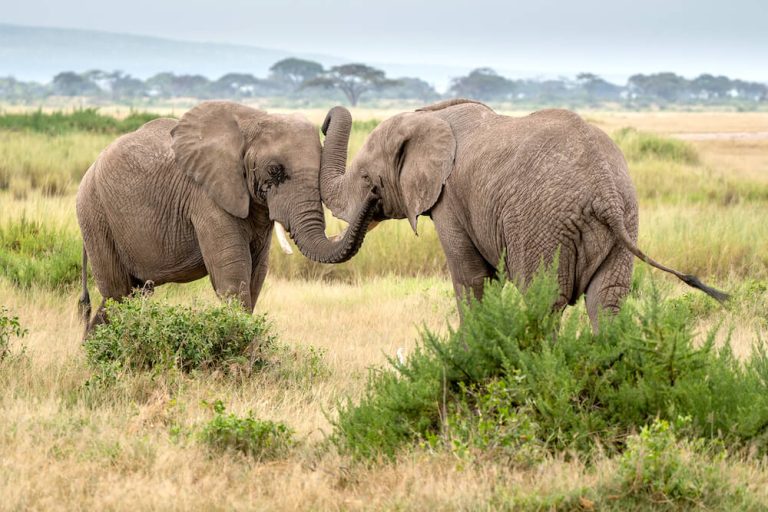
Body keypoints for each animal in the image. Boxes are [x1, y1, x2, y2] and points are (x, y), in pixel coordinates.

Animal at [76, 100, 378, 336]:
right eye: (275, 171)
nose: (375, 190)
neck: (255, 120)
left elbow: (256, 277)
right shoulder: (206, 198)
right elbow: (233, 279)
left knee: (130, 294)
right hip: (95, 214)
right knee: (119, 293)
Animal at [319, 99, 728, 329]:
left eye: (369, 180)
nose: (322, 121)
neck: (427, 116)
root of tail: (606, 192)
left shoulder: (449, 202)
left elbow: (472, 280)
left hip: (542, 226)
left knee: (545, 301)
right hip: (625, 219)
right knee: (606, 301)